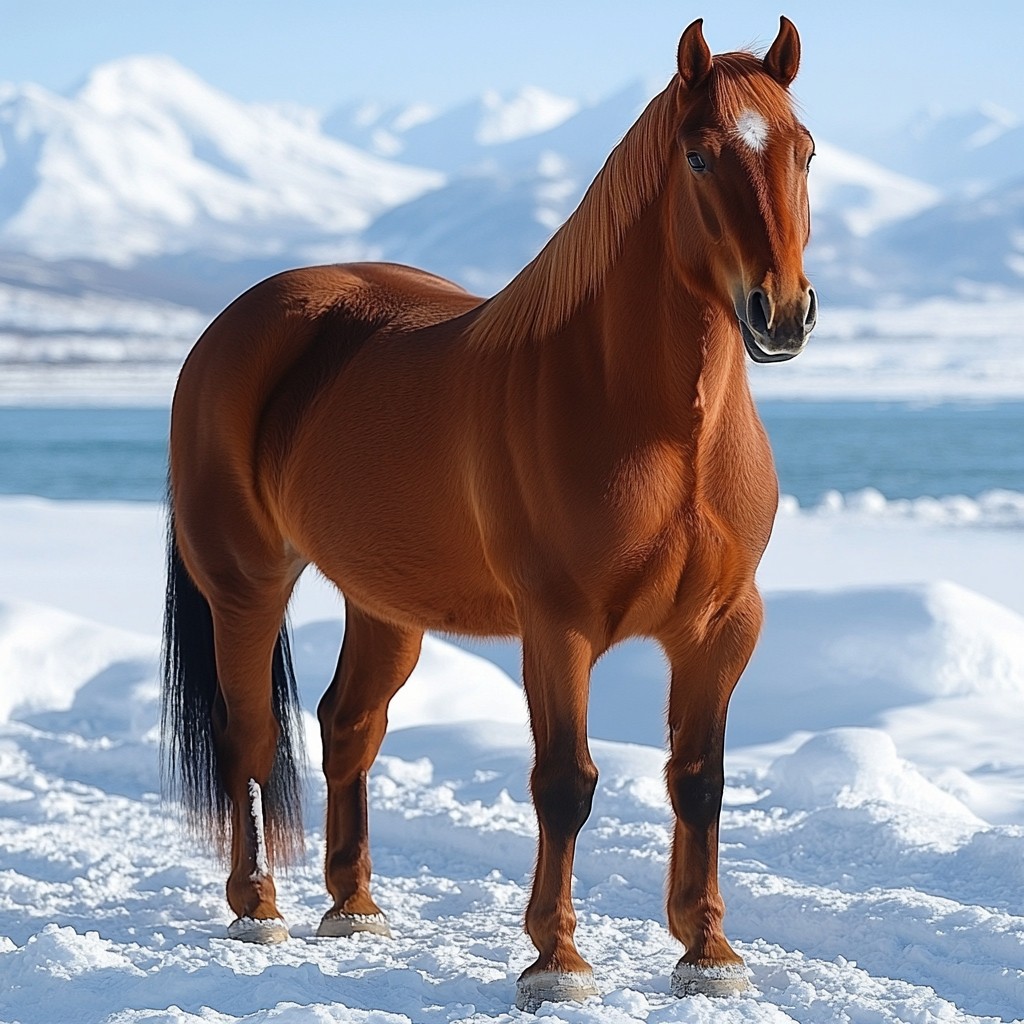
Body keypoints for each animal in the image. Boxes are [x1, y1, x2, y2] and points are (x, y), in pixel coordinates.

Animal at [159, 14, 815, 1007]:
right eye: (700, 157)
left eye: (804, 151)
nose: (780, 313)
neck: (664, 432)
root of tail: (237, 324)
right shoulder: (558, 627)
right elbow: (565, 784)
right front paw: (556, 961)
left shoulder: (722, 625)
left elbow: (700, 779)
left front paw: (708, 953)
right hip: (246, 586)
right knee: (251, 736)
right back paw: (258, 907)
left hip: (385, 604)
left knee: (348, 725)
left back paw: (354, 907)